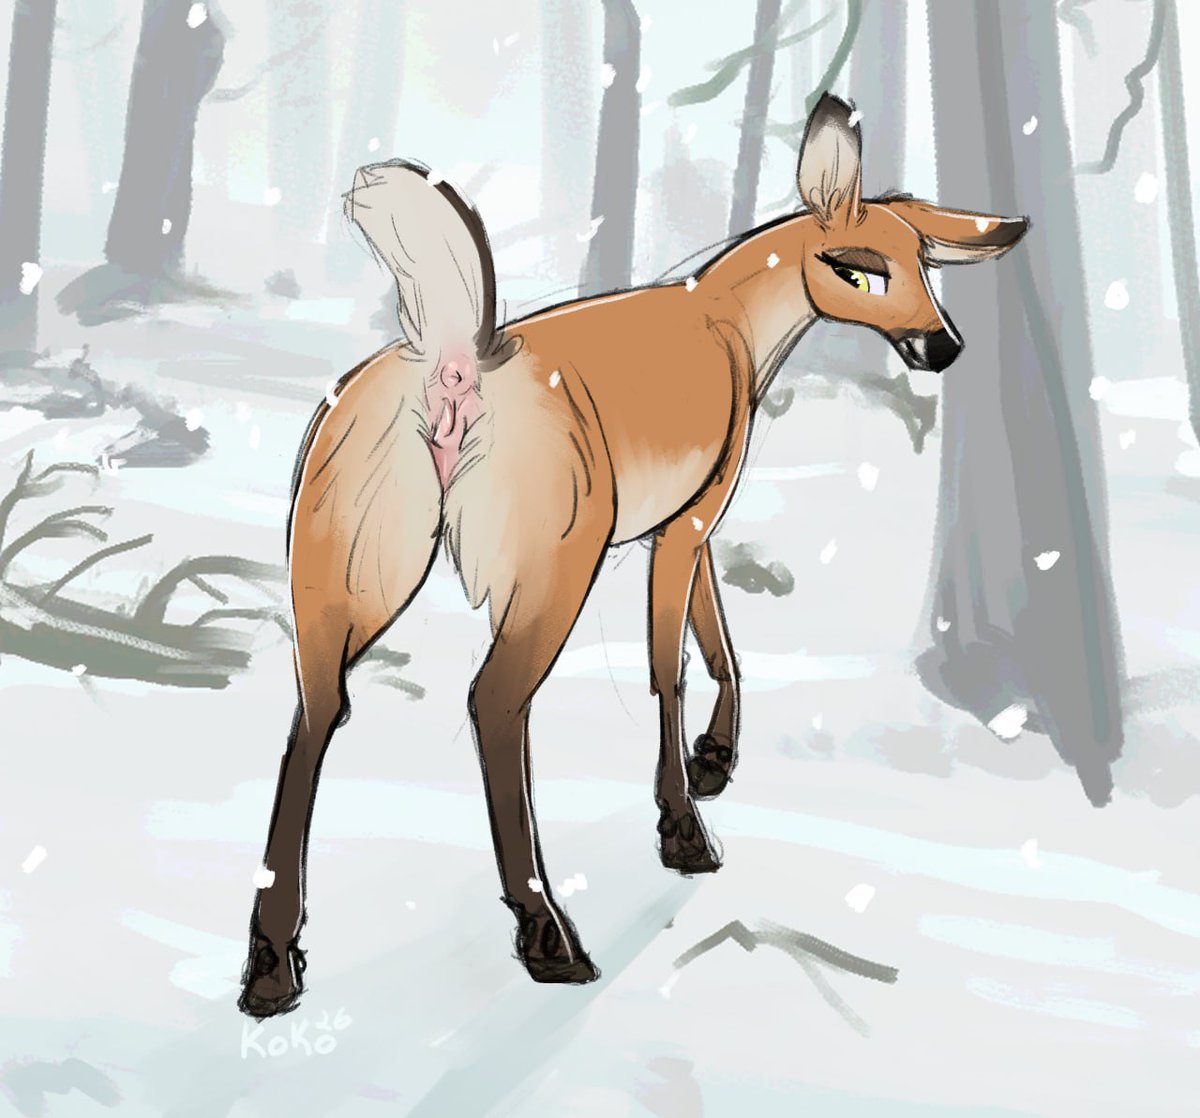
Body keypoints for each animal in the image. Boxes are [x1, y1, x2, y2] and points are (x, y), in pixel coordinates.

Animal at [238, 93, 1029, 1017]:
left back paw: (271, 961)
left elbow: (719, 643)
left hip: (345, 556)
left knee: (315, 710)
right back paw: (548, 933)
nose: (943, 347)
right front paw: (683, 824)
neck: (736, 330)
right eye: (858, 269)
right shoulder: (691, 513)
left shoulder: (683, 515)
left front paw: (714, 762)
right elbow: (670, 665)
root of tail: (453, 368)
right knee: (492, 702)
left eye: (925, 264)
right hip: (556, 555)